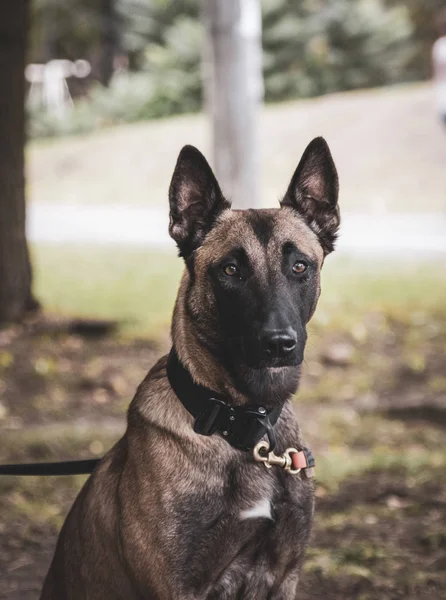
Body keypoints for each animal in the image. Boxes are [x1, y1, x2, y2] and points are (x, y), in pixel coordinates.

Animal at [40, 138, 340, 596]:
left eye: (300, 266)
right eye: (231, 270)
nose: (279, 344)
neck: (240, 425)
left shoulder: (283, 575)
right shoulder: (178, 586)